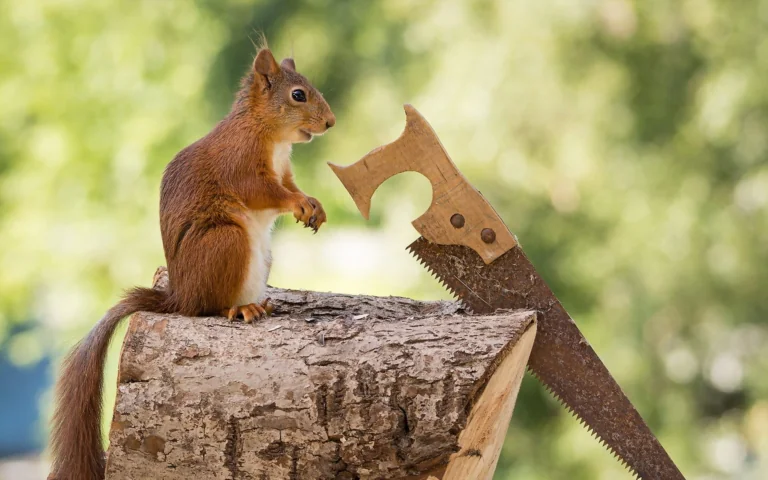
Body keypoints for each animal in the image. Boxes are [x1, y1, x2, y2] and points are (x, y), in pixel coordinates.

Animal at [48, 45, 335, 480]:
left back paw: (262, 303)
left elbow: (290, 186)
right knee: (206, 308)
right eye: (298, 95)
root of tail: (177, 298)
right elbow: (265, 191)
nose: (330, 122)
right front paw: (299, 203)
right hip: (226, 241)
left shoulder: (284, 169)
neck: (268, 134)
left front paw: (313, 203)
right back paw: (240, 308)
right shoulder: (241, 162)